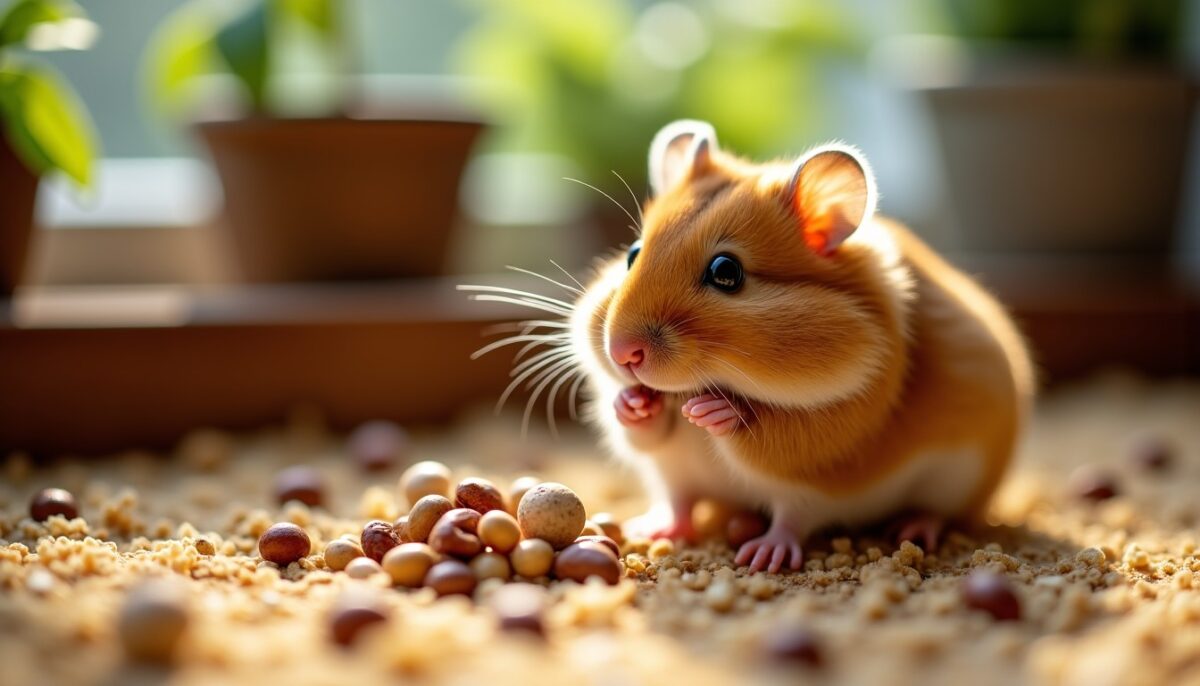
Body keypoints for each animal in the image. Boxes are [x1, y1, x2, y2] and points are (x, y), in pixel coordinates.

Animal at [567, 120, 1034, 573]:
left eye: (726, 272)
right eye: (632, 253)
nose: (623, 354)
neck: (701, 383)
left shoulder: (831, 439)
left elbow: (774, 444)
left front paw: (710, 411)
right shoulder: (666, 456)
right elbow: (644, 435)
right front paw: (633, 403)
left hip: (958, 481)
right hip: (675, 477)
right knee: (680, 504)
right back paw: (653, 529)